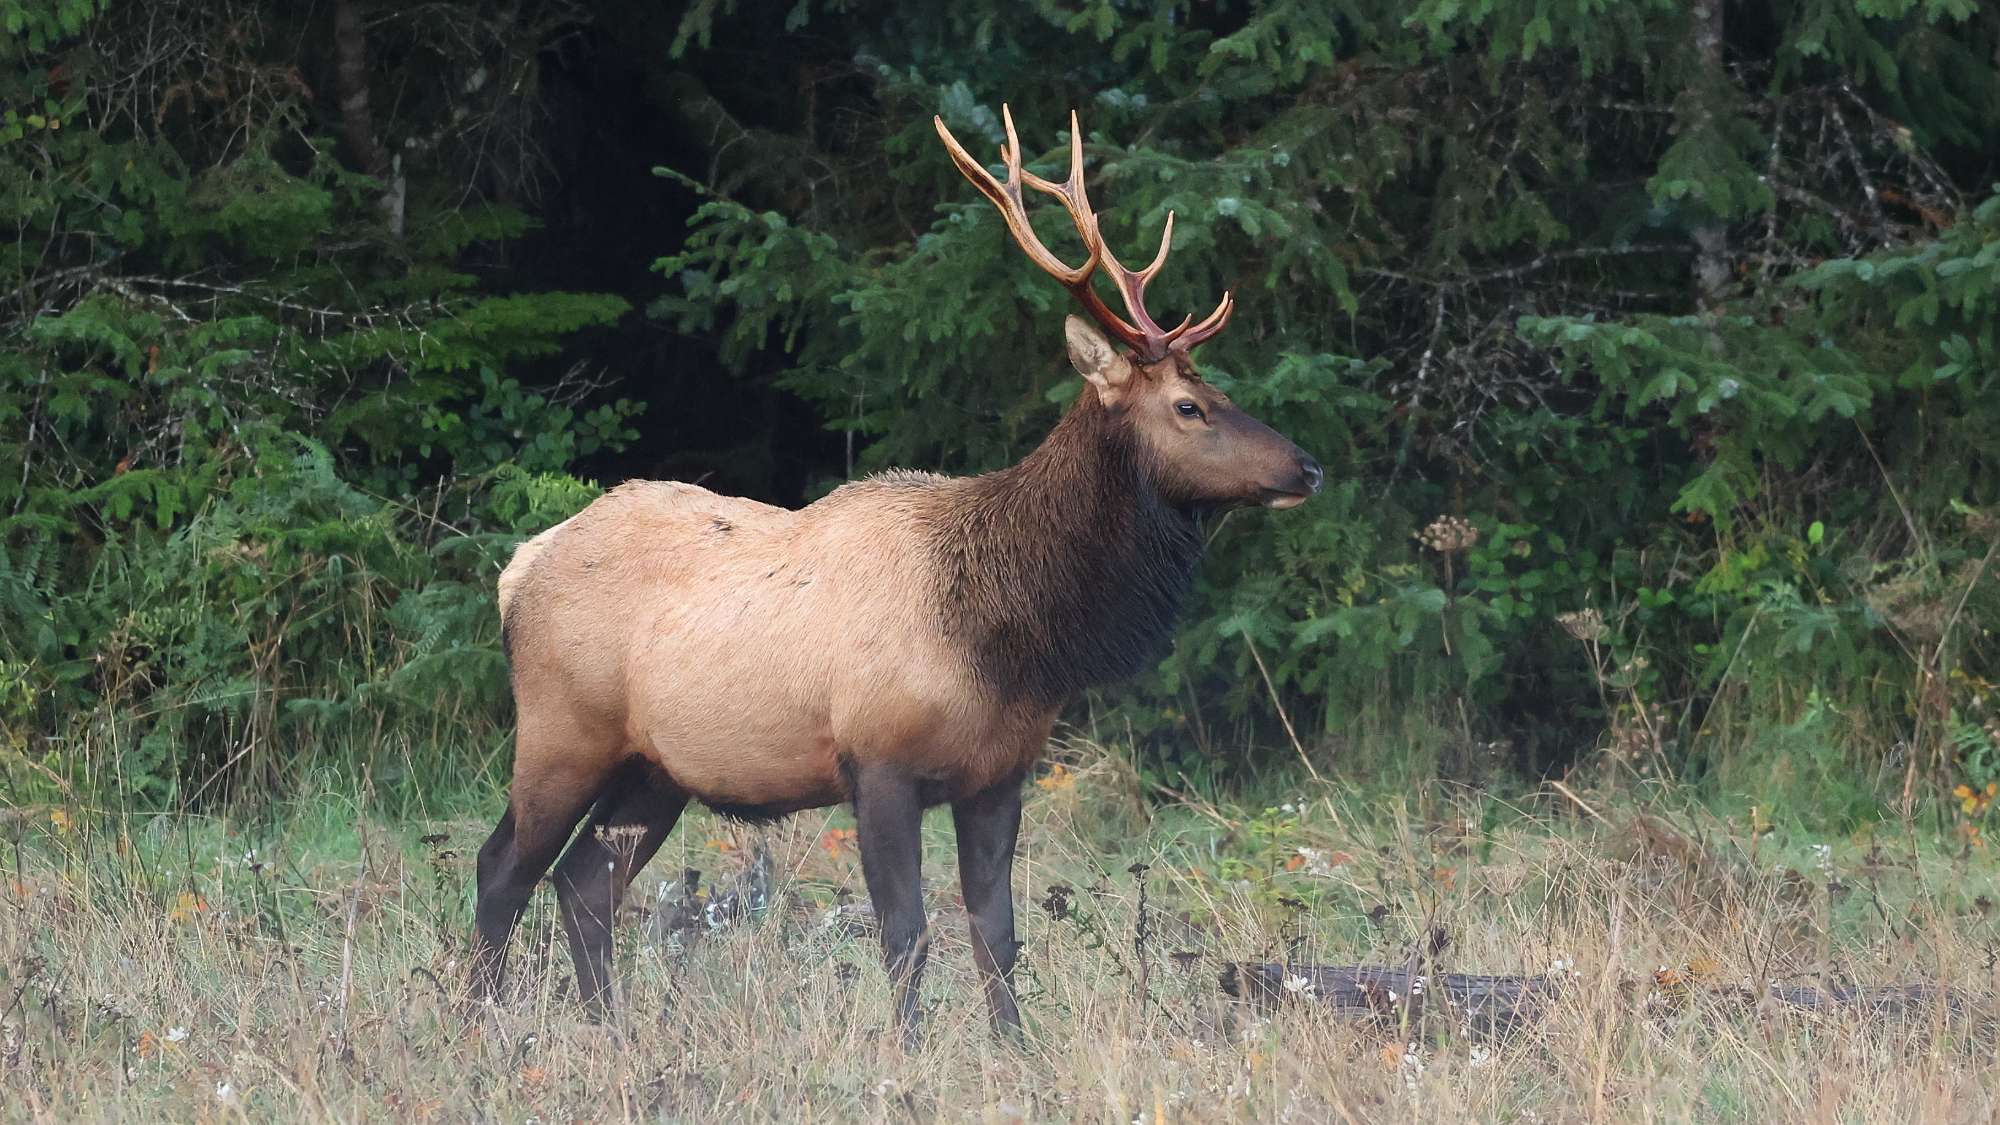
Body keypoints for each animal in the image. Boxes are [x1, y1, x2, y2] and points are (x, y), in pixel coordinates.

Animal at [472, 105, 1321, 1043]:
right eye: (1189, 406)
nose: (1307, 466)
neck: (1009, 639)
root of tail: (517, 568)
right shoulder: (876, 759)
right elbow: (908, 933)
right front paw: (910, 1050)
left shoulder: (999, 773)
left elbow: (996, 932)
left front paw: (1015, 1051)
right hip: (562, 728)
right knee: (503, 865)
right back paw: (474, 1021)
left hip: (655, 766)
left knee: (585, 879)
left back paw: (609, 1031)